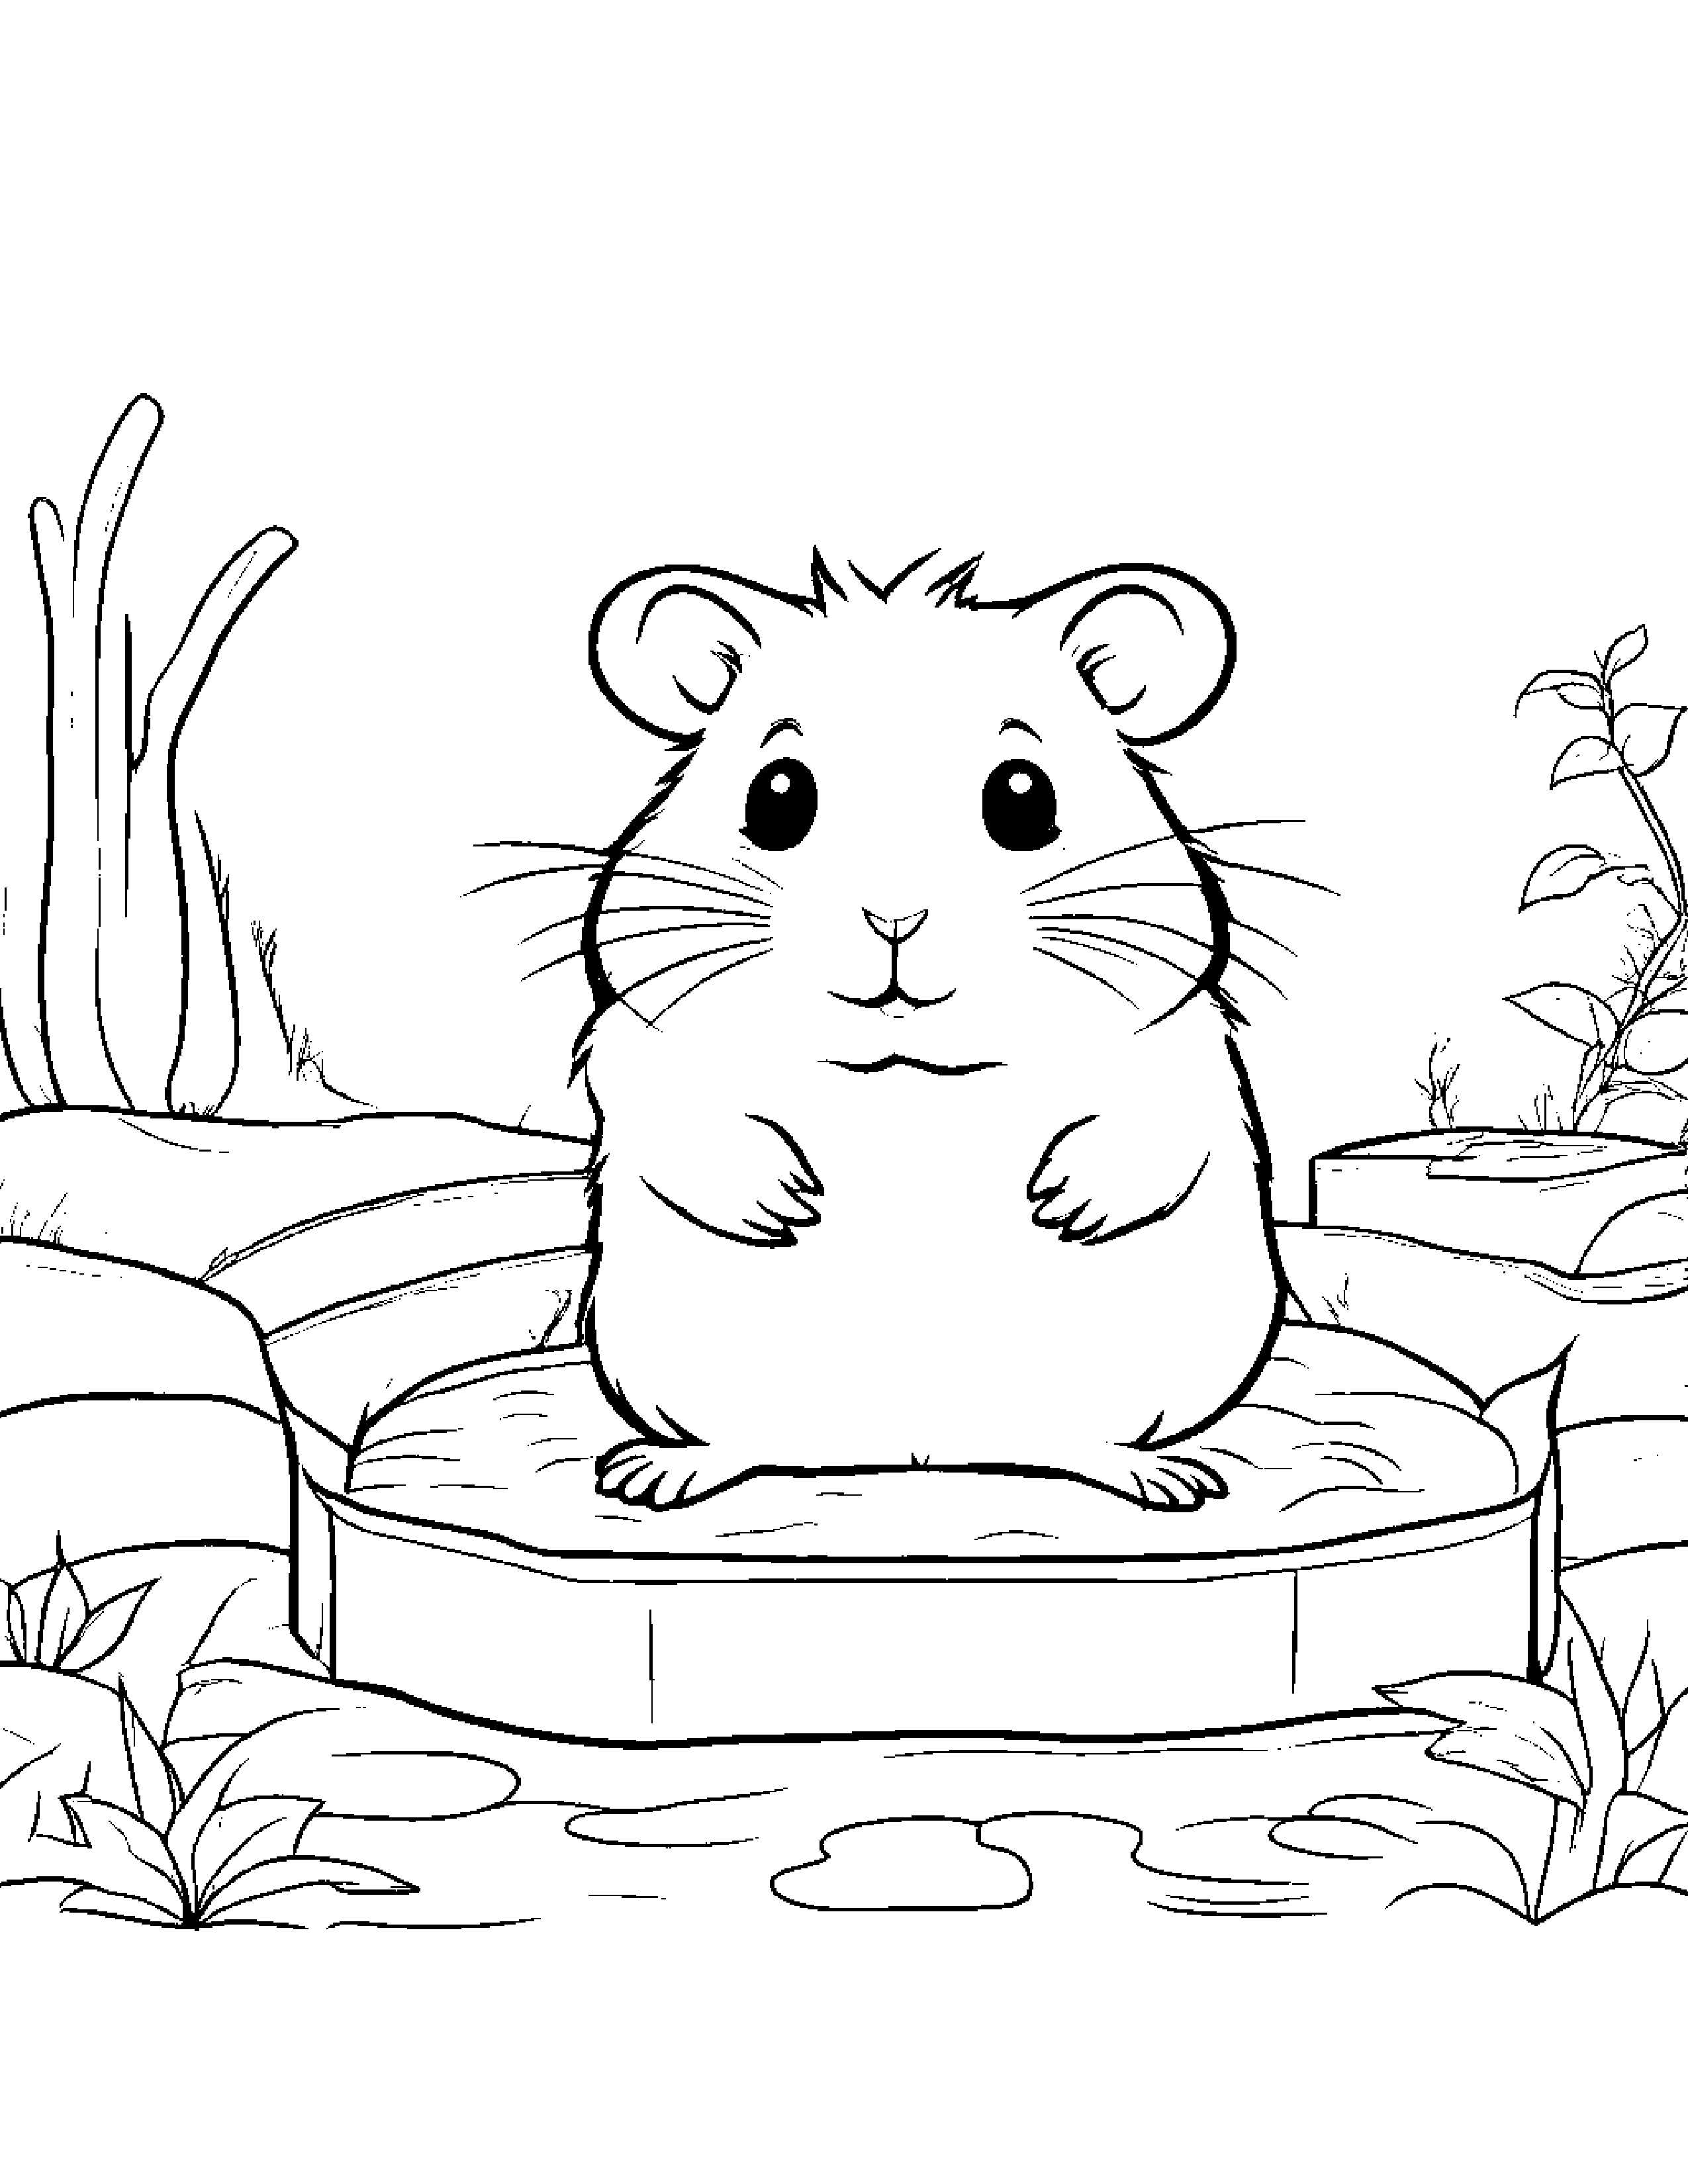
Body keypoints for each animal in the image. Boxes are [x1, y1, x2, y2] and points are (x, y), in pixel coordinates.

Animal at [575, 549, 1285, 1510]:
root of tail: (919, 1452)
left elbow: (1160, 1114)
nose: (894, 917)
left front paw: (1065, 1204)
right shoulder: (643, 1021)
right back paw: (658, 1474)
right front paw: (785, 1204)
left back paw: (1161, 1478)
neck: (907, 1069)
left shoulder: (1181, 1029)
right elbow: (670, 1103)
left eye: (1023, 797)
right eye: (777, 796)